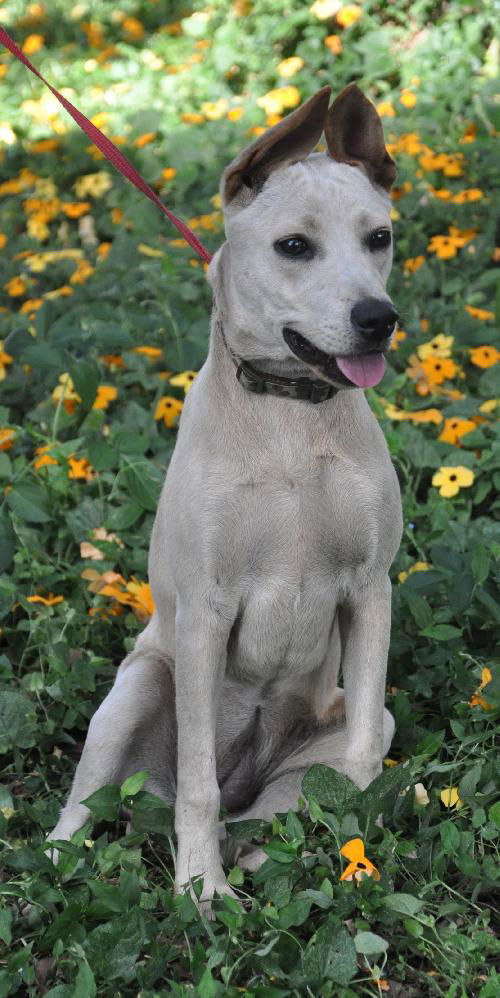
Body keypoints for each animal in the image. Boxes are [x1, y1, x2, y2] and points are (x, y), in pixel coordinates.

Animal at [48, 86, 404, 912]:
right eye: (294, 246)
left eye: (379, 238)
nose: (379, 320)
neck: (290, 420)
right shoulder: (206, 613)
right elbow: (196, 789)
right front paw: (197, 891)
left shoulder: (371, 590)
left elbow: (361, 763)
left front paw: (358, 863)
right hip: (139, 687)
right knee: (92, 803)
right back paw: (60, 865)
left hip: (343, 729)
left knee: (280, 812)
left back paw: (273, 854)